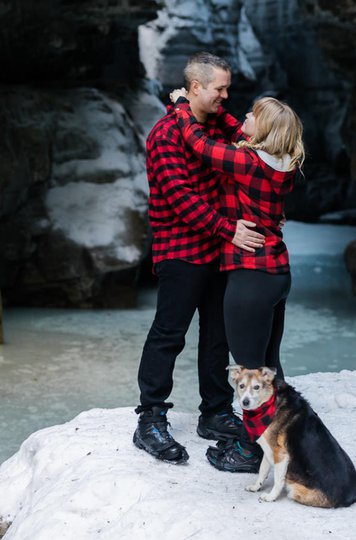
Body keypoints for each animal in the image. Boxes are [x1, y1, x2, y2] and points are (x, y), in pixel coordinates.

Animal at [228, 364, 356, 508]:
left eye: (256, 387)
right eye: (241, 386)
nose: (245, 402)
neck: (270, 402)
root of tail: (349, 498)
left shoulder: (280, 454)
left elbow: (278, 480)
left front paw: (271, 497)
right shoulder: (268, 450)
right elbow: (262, 470)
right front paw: (256, 487)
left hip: (294, 490)